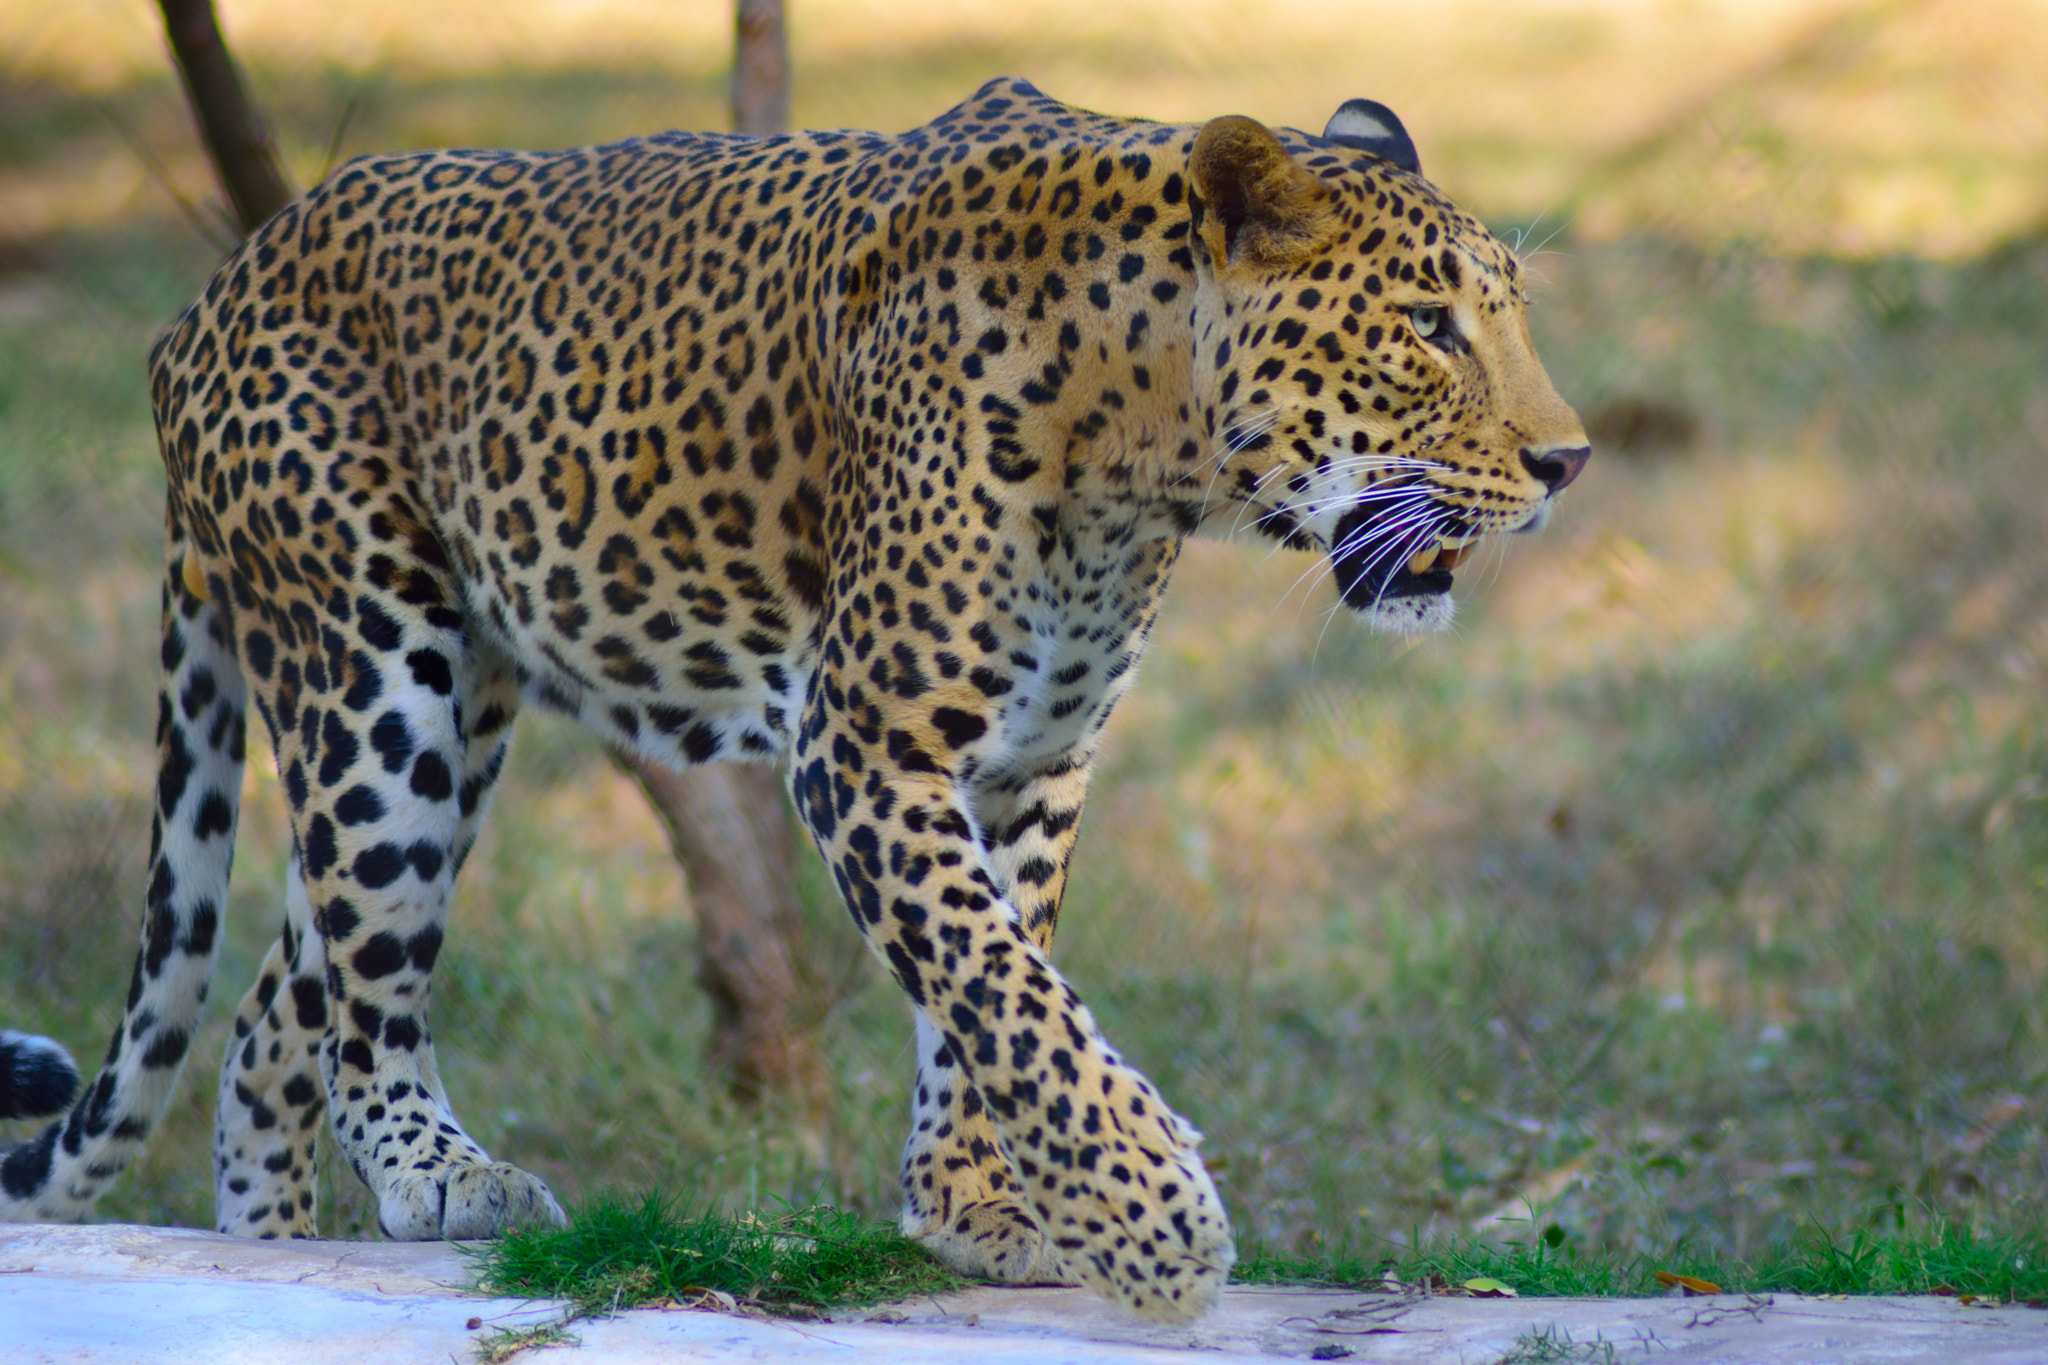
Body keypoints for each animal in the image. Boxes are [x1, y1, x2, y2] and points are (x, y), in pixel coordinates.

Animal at [0, 78, 1587, 1323]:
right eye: (1431, 326)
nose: (1567, 462)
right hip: (380, 675)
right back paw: (438, 1176)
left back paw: (278, 1245)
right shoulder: (865, 743)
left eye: (1502, 317)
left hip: (459, 707)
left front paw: (974, 1205)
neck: (1147, 451)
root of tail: (211, 293)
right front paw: (1149, 1218)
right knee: (364, 982)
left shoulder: (1031, 761)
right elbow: (1005, 985)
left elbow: (991, 982)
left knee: (282, 1004)